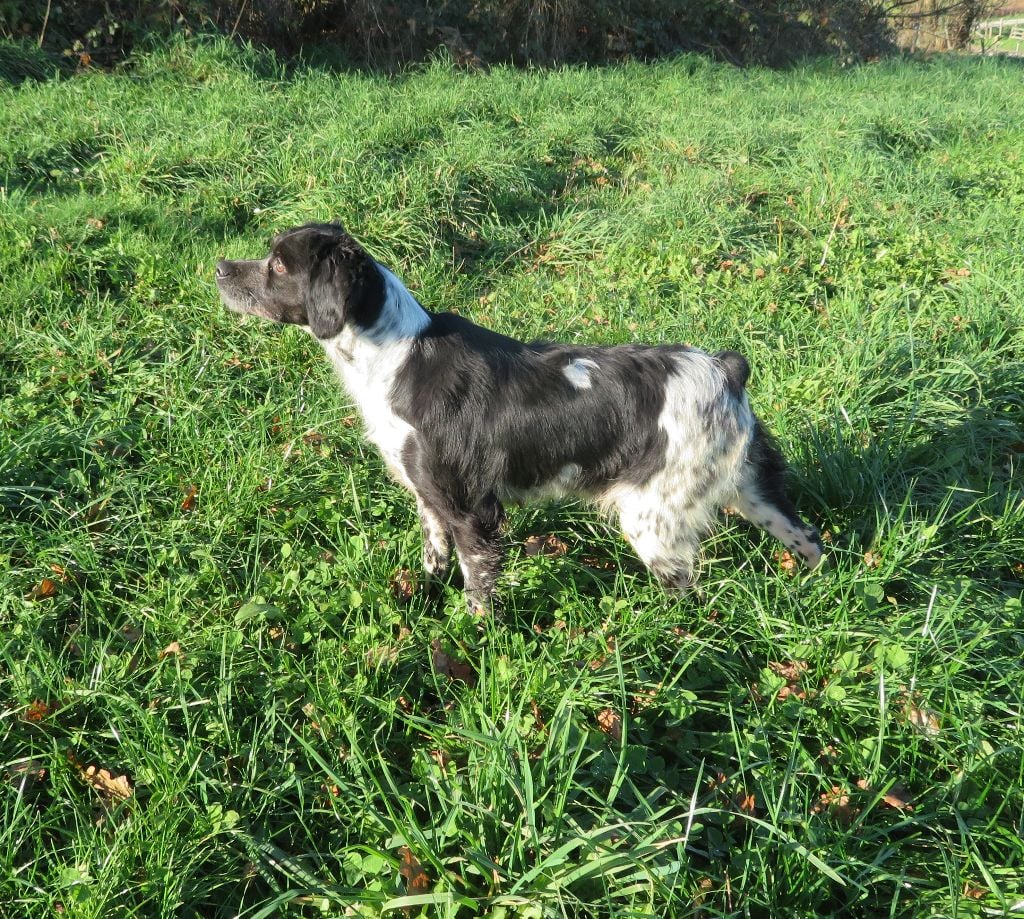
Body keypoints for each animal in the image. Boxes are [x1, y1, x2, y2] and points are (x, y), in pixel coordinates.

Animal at [216, 223, 823, 613]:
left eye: (278, 263)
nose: (219, 267)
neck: (397, 355)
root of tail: (724, 369)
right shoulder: (429, 497)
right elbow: (435, 555)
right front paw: (421, 601)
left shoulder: (472, 509)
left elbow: (477, 588)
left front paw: (468, 639)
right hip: (752, 490)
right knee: (808, 536)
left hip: (653, 521)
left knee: (689, 597)